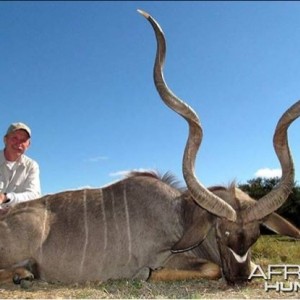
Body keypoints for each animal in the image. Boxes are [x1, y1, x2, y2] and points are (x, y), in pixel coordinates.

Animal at [0, 9, 300, 286]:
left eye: (255, 235)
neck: (181, 216)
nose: (239, 278)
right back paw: (24, 274)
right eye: (219, 232)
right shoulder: (165, 256)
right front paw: (148, 273)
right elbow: (206, 269)